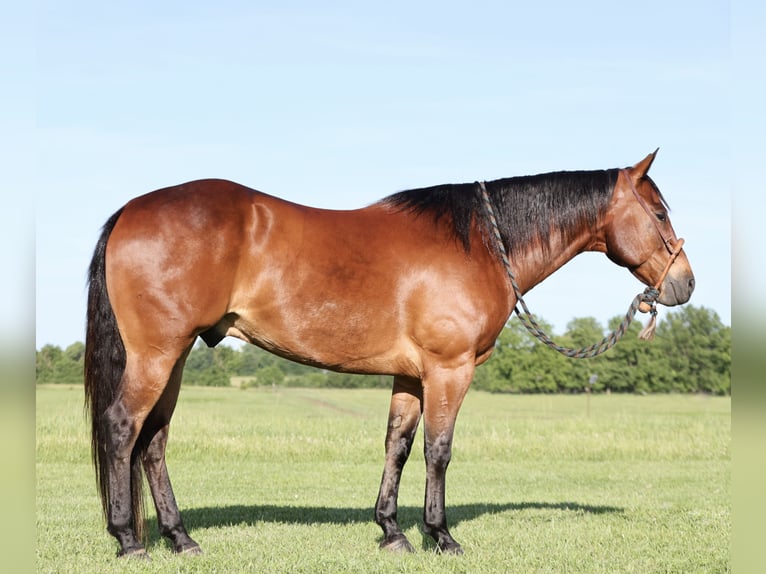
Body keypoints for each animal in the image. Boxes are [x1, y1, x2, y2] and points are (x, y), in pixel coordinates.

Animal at [82, 150, 696, 560]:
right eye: (660, 213)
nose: (684, 284)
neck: (479, 242)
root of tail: (130, 211)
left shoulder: (411, 377)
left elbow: (397, 447)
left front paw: (393, 531)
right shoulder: (449, 370)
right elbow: (438, 451)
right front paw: (442, 536)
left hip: (175, 356)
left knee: (154, 441)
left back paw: (181, 538)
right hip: (157, 355)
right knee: (123, 428)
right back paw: (128, 540)